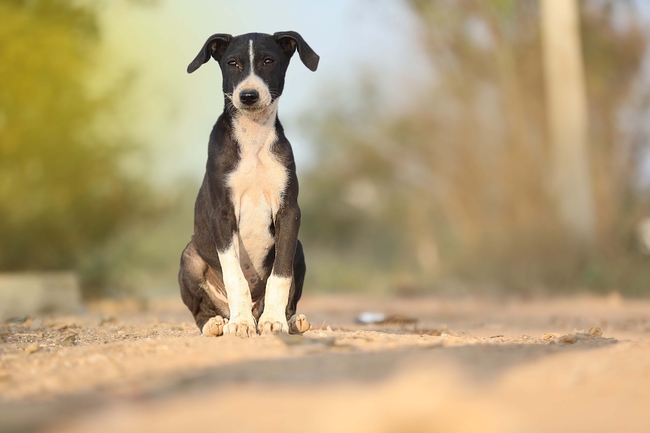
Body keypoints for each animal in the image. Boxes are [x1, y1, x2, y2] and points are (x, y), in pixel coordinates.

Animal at [177, 32, 318, 338]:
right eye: (233, 63)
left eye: (268, 61)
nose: (248, 95)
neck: (253, 136)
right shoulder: (222, 213)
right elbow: (235, 276)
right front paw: (240, 323)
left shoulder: (289, 211)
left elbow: (280, 275)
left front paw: (273, 321)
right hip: (190, 257)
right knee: (200, 312)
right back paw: (217, 323)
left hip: (299, 248)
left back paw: (290, 320)